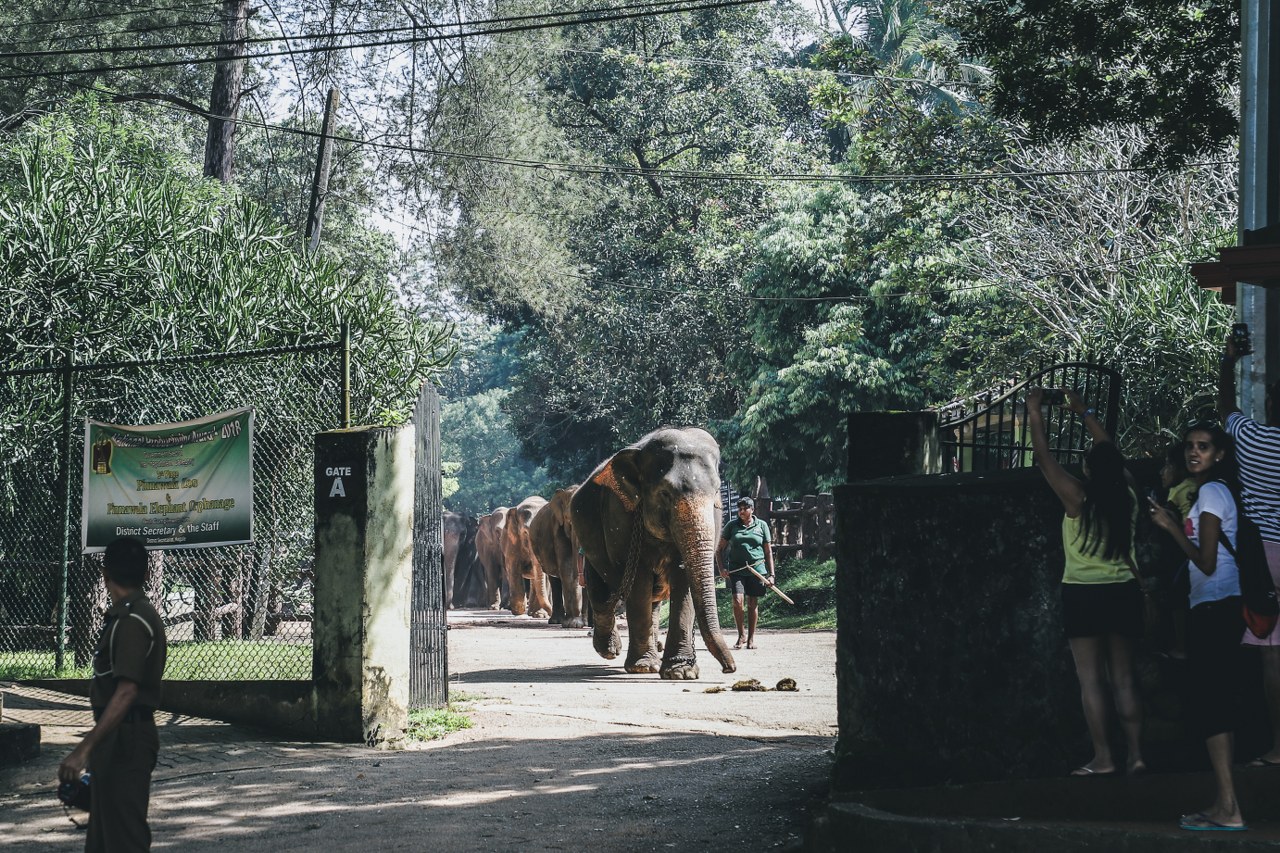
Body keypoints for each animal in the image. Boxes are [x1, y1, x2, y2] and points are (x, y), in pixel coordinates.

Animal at [527, 484, 586, 625]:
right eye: (569, 521)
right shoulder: (557, 530)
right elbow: (567, 568)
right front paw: (573, 624)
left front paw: (581, 624)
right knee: (555, 580)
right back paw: (557, 621)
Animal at [568, 425, 737, 676]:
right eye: (665, 493)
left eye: (717, 490)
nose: (729, 669)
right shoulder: (621, 517)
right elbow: (638, 581)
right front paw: (643, 667)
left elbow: (684, 581)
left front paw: (681, 672)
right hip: (590, 546)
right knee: (602, 593)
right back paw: (610, 650)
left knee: (652, 601)